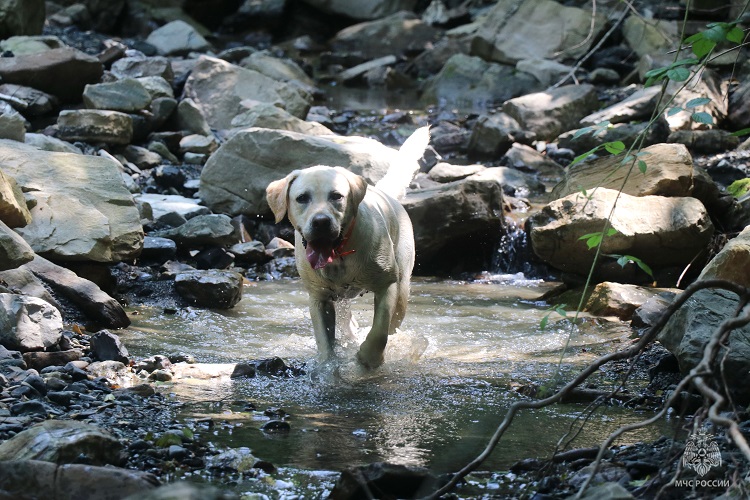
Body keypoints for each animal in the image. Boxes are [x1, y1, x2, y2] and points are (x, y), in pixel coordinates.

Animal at [266, 128, 428, 372]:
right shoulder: (318, 298)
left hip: (403, 287)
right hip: (341, 297)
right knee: (346, 318)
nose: (321, 222)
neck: (340, 254)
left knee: (393, 324)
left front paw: (369, 358)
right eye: (302, 198)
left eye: (336, 196)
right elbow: (325, 342)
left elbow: (380, 330)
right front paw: (328, 367)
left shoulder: (387, 285)